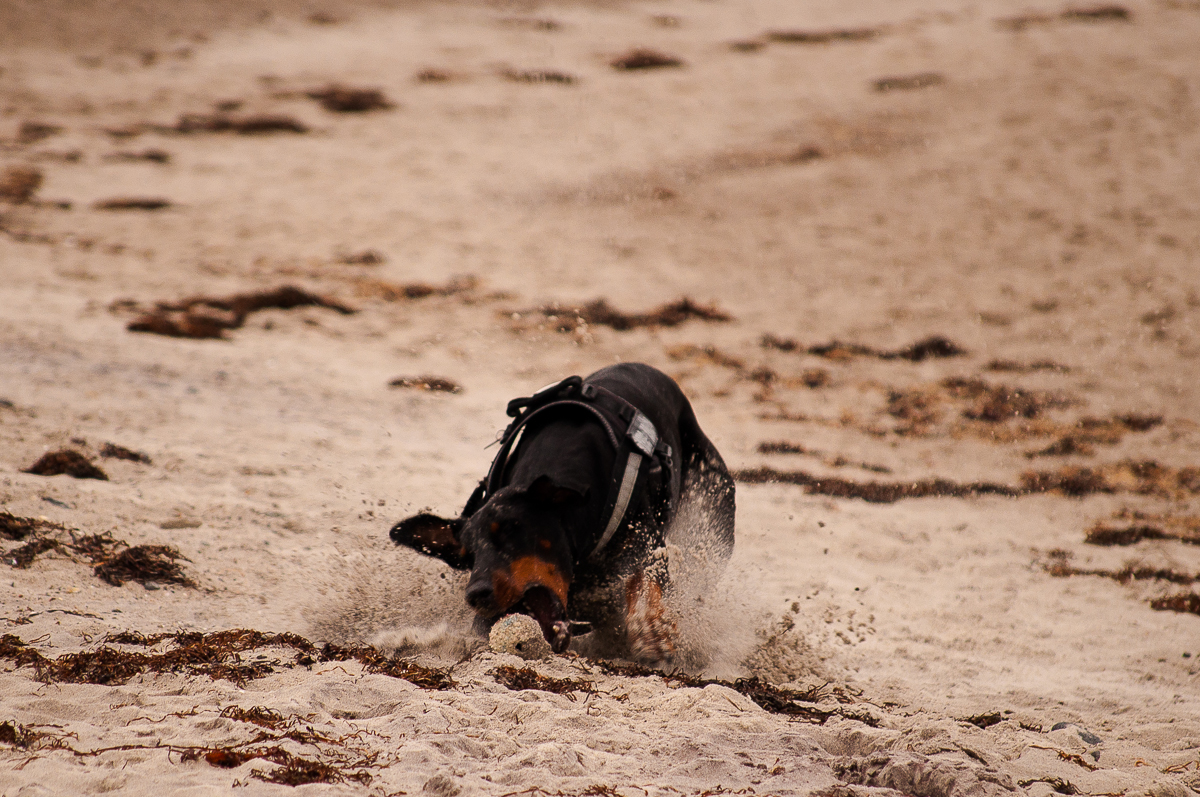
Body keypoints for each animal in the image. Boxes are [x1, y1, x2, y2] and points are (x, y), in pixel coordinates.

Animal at [388, 364, 734, 662]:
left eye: (511, 530)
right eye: (469, 555)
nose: (475, 593)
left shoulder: (646, 540)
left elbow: (645, 577)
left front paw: (651, 630)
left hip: (714, 502)